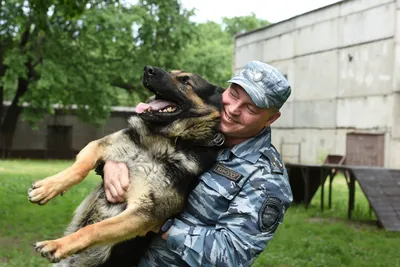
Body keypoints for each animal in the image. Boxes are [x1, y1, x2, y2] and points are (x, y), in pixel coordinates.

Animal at [27, 66, 225, 266]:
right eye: (171, 72)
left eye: (185, 81)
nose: (148, 69)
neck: (164, 141)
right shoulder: (100, 146)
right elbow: (79, 169)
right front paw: (46, 188)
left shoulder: (144, 213)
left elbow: (94, 229)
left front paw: (57, 244)